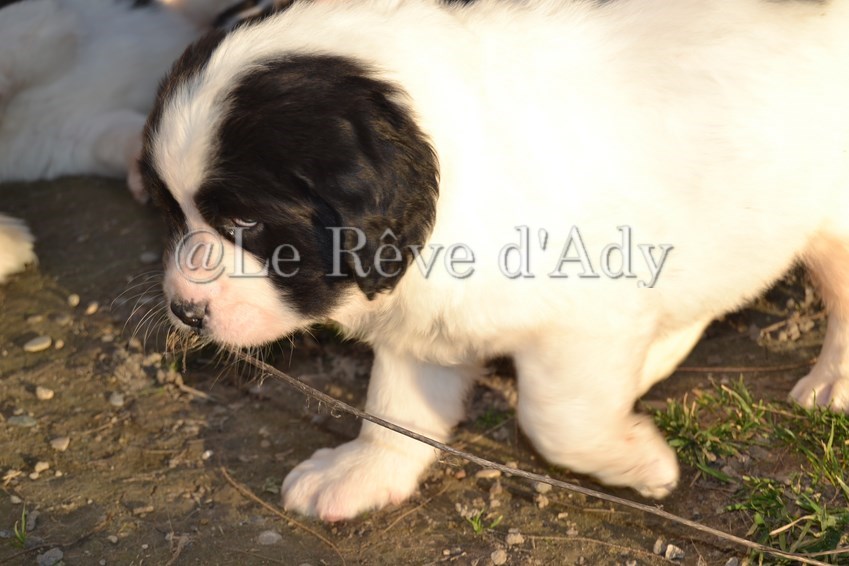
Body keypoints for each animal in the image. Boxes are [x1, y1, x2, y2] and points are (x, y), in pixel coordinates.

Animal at [140, 0, 849, 521]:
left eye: (245, 224)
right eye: (172, 213)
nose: (184, 310)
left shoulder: (586, 320)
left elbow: (553, 420)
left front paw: (640, 462)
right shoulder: (422, 320)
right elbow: (396, 406)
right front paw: (364, 470)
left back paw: (832, 382)